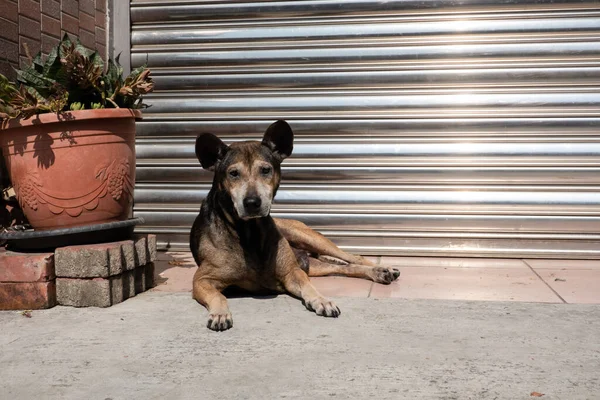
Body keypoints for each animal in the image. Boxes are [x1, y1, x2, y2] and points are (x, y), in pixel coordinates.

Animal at [190, 119, 400, 332]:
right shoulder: (202, 280)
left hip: (308, 238)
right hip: (313, 265)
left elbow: (309, 286)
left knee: (352, 257)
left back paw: (382, 269)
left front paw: (321, 300)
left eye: (265, 170)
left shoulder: (293, 272)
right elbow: (218, 296)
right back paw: (378, 273)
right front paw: (219, 313)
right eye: (233, 173)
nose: (252, 202)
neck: (249, 231)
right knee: (342, 267)